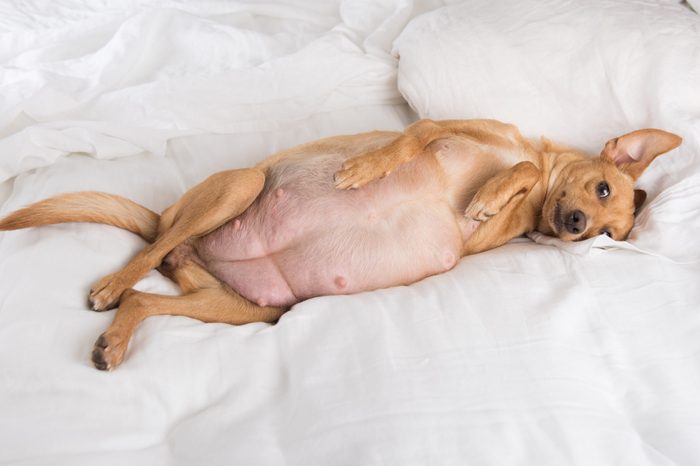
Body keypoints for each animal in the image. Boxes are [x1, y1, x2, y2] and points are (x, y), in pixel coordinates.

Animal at [0, 118, 680, 370]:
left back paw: (115, 338)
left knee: (148, 296)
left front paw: (500, 191)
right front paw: (369, 170)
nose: (576, 227)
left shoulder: (485, 236)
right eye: (600, 187)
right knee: (143, 258)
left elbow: (518, 181)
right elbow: (424, 143)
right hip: (238, 188)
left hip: (244, 309)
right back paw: (112, 284)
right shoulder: (442, 129)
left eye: (610, 234)